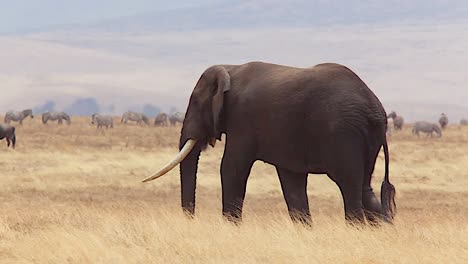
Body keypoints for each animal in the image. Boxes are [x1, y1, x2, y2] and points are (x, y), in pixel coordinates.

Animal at [143, 62, 394, 225]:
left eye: (195, 102)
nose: (191, 220)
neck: (230, 69)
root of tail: (375, 109)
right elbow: (292, 182)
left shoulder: (243, 119)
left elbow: (232, 167)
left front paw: (230, 228)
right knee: (365, 188)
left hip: (344, 134)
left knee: (349, 186)